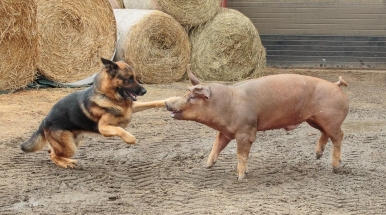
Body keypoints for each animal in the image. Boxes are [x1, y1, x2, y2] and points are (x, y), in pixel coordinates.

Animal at [20, 58, 167, 168]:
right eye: (128, 78)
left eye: (135, 77)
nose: (144, 91)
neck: (110, 97)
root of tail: (45, 120)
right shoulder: (103, 128)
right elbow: (120, 130)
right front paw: (130, 139)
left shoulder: (133, 107)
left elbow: (152, 102)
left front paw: (167, 101)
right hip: (70, 147)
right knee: (52, 154)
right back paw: (66, 163)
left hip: (73, 142)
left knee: (51, 151)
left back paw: (66, 161)